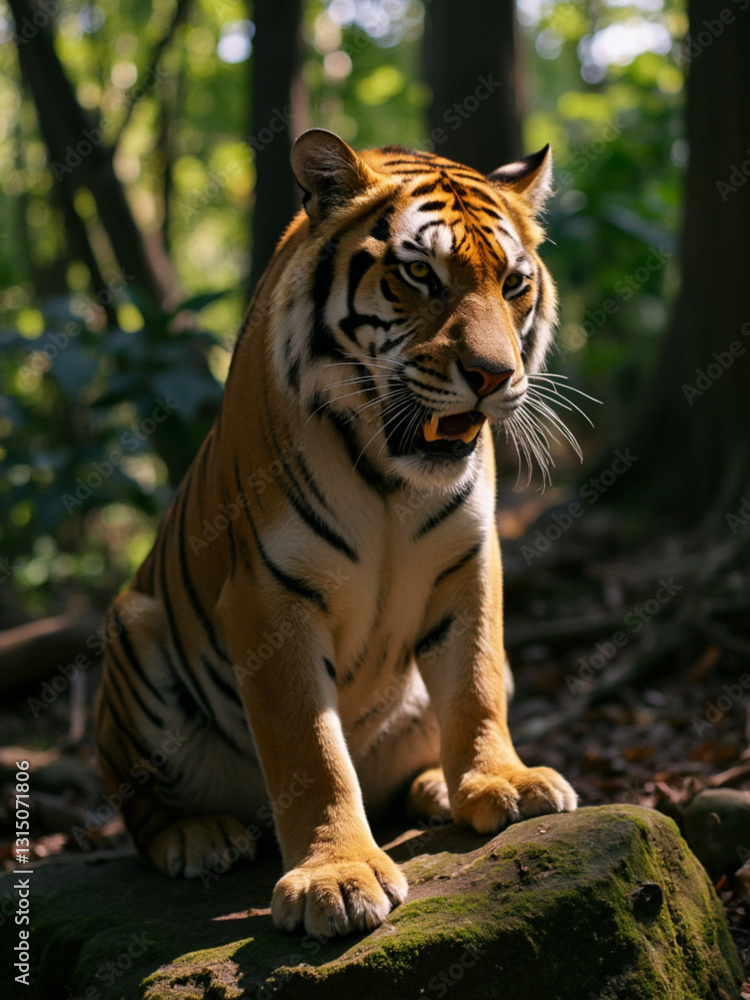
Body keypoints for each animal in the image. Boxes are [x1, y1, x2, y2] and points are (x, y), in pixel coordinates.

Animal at [95, 128, 577, 939]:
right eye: (418, 273)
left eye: (514, 283)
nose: (493, 375)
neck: (392, 479)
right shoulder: (268, 595)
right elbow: (311, 750)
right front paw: (337, 877)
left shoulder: (470, 563)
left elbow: (476, 685)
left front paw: (502, 783)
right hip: (130, 632)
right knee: (139, 809)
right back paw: (199, 837)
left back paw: (436, 788)